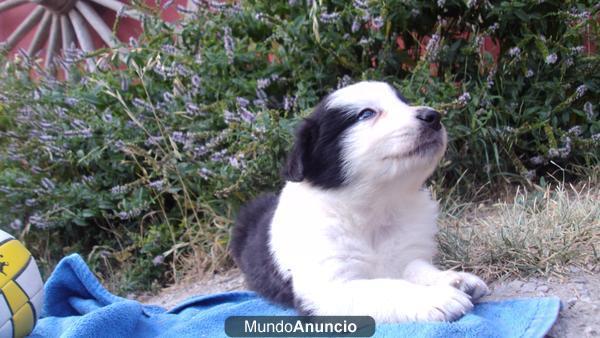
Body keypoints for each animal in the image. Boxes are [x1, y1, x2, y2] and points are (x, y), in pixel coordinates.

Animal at [230, 81, 488, 322]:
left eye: (404, 102)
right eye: (366, 114)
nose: (433, 116)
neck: (376, 207)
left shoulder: (406, 253)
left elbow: (418, 268)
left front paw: (454, 278)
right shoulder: (329, 288)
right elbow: (384, 286)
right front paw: (436, 298)